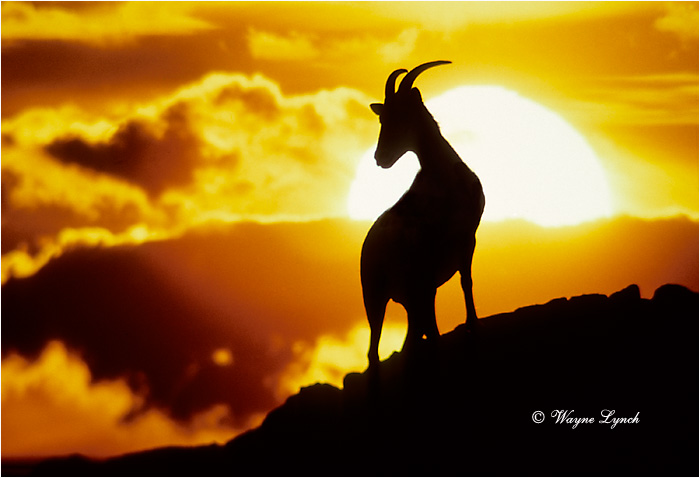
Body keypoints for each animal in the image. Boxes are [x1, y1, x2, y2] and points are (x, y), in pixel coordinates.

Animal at [361, 61, 485, 369]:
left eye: (403, 115)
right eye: (383, 119)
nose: (380, 158)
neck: (444, 176)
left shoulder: (465, 241)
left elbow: (465, 282)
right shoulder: (447, 248)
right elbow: (458, 288)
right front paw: (470, 326)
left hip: (406, 295)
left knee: (411, 334)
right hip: (381, 294)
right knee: (380, 346)